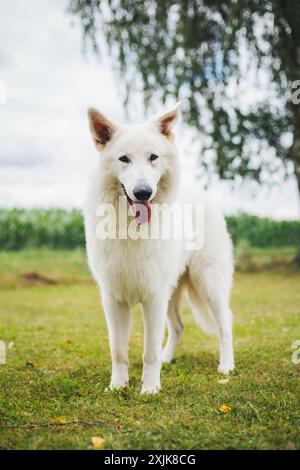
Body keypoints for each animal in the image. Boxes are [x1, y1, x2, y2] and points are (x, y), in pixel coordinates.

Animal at [84, 103, 234, 392]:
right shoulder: (114, 299)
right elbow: (118, 350)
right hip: (172, 292)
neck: (130, 229)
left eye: (153, 157)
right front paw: (118, 386)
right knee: (178, 326)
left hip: (208, 284)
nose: (143, 193)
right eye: (124, 159)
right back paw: (168, 359)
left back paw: (226, 366)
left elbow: (148, 352)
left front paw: (150, 389)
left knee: (225, 323)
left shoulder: (152, 298)